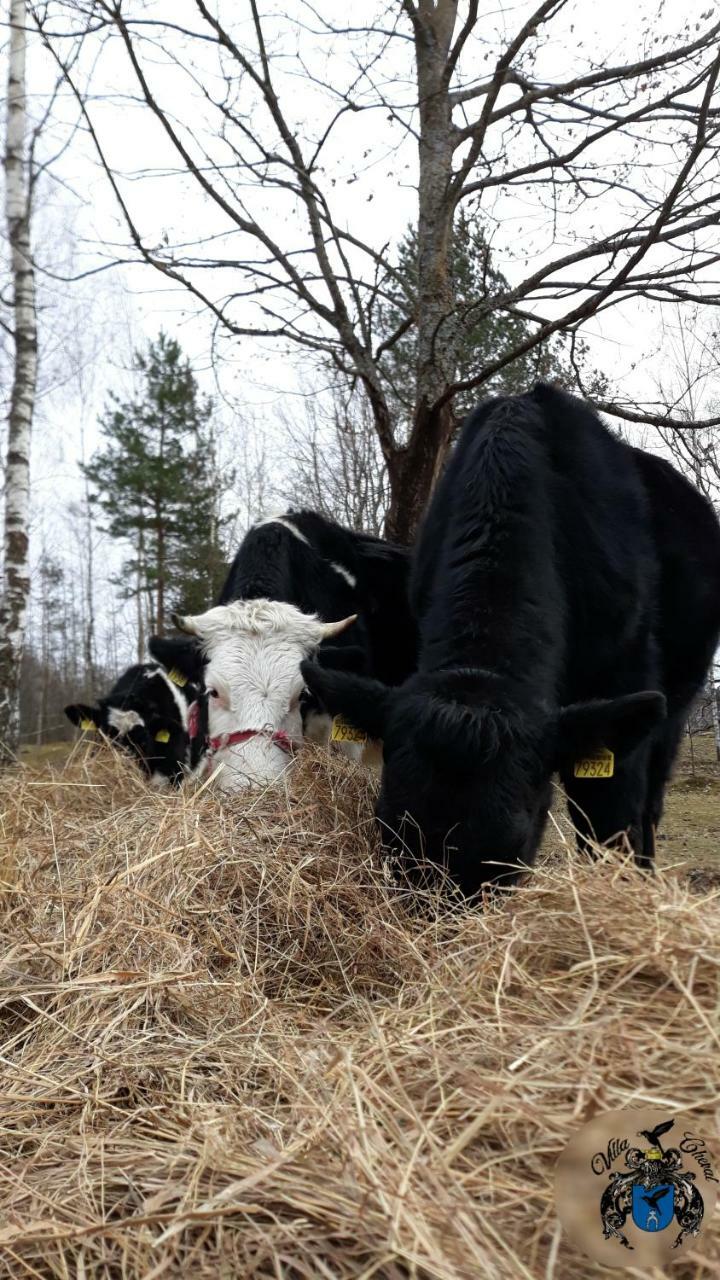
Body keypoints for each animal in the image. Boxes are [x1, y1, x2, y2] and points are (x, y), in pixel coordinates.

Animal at [299, 384, 717, 896]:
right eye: (386, 825)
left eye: (514, 842)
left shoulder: (623, 683)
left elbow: (609, 822)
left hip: (676, 707)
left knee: (650, 805)